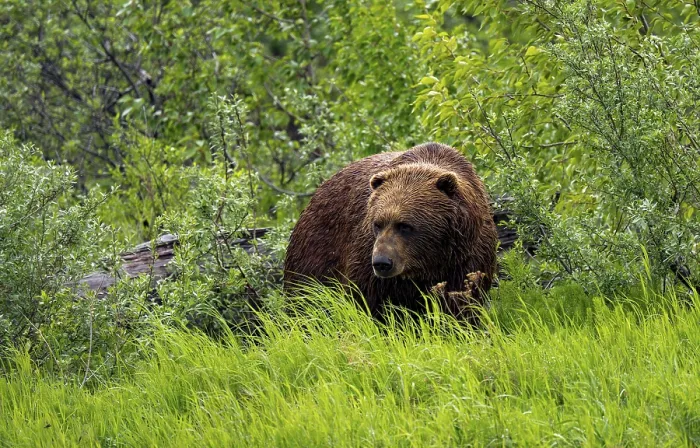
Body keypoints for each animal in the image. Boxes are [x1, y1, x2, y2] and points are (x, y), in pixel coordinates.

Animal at [283, 142, 498, 320]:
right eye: (377, 224)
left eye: (405, 225)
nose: (382, 263)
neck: (426, 264)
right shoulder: (367, 258)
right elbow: (367, 301)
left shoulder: (464, 257)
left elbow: (460, 302)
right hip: (316, 250)